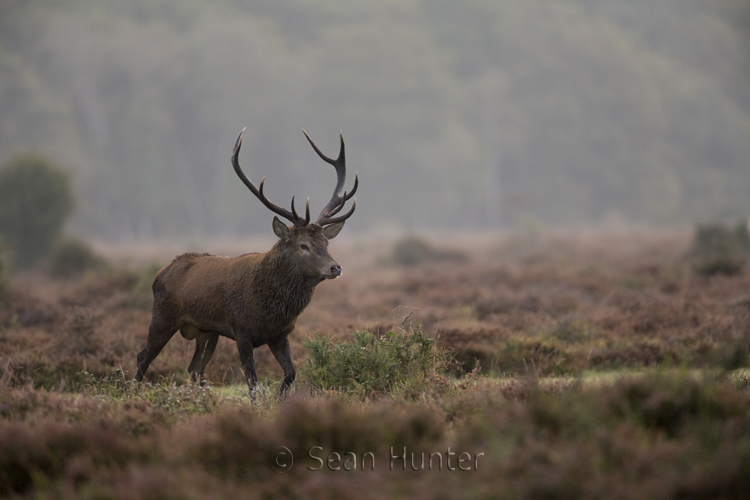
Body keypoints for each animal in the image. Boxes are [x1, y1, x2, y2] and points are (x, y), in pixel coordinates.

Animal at [134, 128, 357, 397]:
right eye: (303, 245)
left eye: (326, 243)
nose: (336, 267)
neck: (271, 309)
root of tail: (160, 274)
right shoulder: (241, 330)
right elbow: (252, 381)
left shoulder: (280, 335)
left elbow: (291, 374)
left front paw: (280, 399)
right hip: (162, 317)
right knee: (143, 357)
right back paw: (133, 392)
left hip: (206, 332)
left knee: (195, 368)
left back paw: (208, 398)